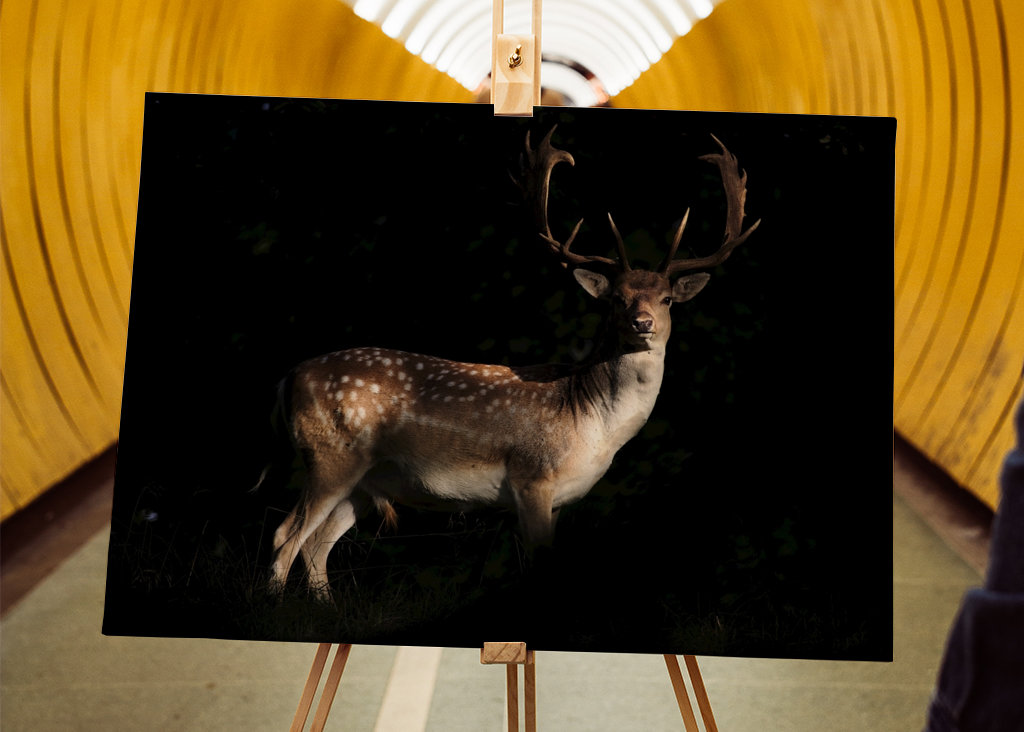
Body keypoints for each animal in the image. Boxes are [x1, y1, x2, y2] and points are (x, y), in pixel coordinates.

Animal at [268, 129, 759, 596]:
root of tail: (290, 376)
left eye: (667, 299)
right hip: (329, 455)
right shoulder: (532, 478)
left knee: (316, 546)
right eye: (617, 299)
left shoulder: (559, 499)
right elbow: (537, 564)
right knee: (285, 535)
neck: (592, 424)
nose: (643, 323)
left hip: (366, 482)